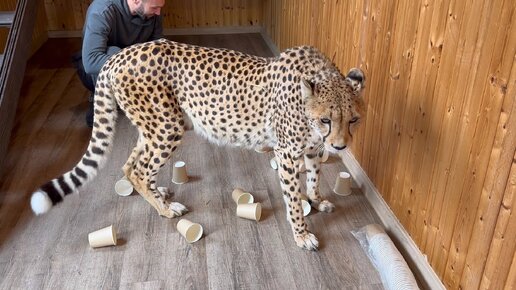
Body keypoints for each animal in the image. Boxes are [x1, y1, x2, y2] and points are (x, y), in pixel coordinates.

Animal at [30, 38, 364, 250]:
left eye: (353, 120)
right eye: (326, 120)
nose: (340, 147)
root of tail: (122, 54)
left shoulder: (312, 149)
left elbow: (315, 176)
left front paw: (317, 200)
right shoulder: (287, 153)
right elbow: (293, 199)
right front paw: (302, 234)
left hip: (152, 128)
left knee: (130, 164)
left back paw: (160, 194)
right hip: (167, 127)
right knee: (140, 170)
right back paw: (166, 210)